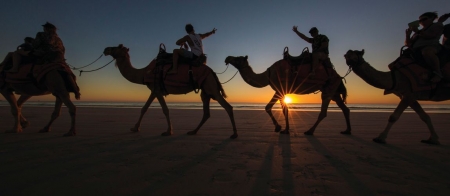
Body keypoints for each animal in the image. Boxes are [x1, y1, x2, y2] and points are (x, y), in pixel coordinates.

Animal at [103, 44, 239, 139]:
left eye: (117, 47)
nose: (106, 49)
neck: (144, 72)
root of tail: (212, 72)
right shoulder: (154, 90)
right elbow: (144, 108)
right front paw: (135, 128)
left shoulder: (157, 90)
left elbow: (165, 110)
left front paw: (168, 131)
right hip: (205, 90)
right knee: (206, 113)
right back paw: (193, 131)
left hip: (210, 87)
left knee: (227, 107)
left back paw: (234, 134)